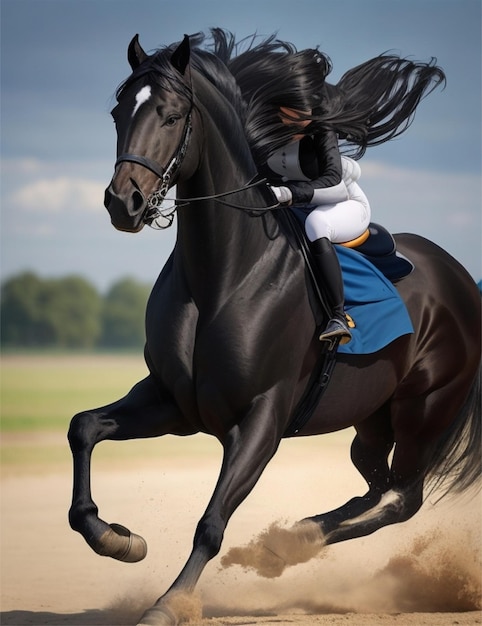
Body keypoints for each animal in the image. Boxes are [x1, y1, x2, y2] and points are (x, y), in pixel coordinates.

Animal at [68, 31, 482, 620]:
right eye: (118, 111)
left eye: (171, 115)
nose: (122, 202)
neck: (222, 274)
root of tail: (461, 279)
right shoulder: (175, 402)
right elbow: (84, 427)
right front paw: (118, 539)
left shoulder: (261, 419)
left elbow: (211, 521)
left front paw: (169, 604)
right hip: (371, 419)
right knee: (376, 486)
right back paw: (289, 540)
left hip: (424, 410)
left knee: (403, 498)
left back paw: (280, 548)